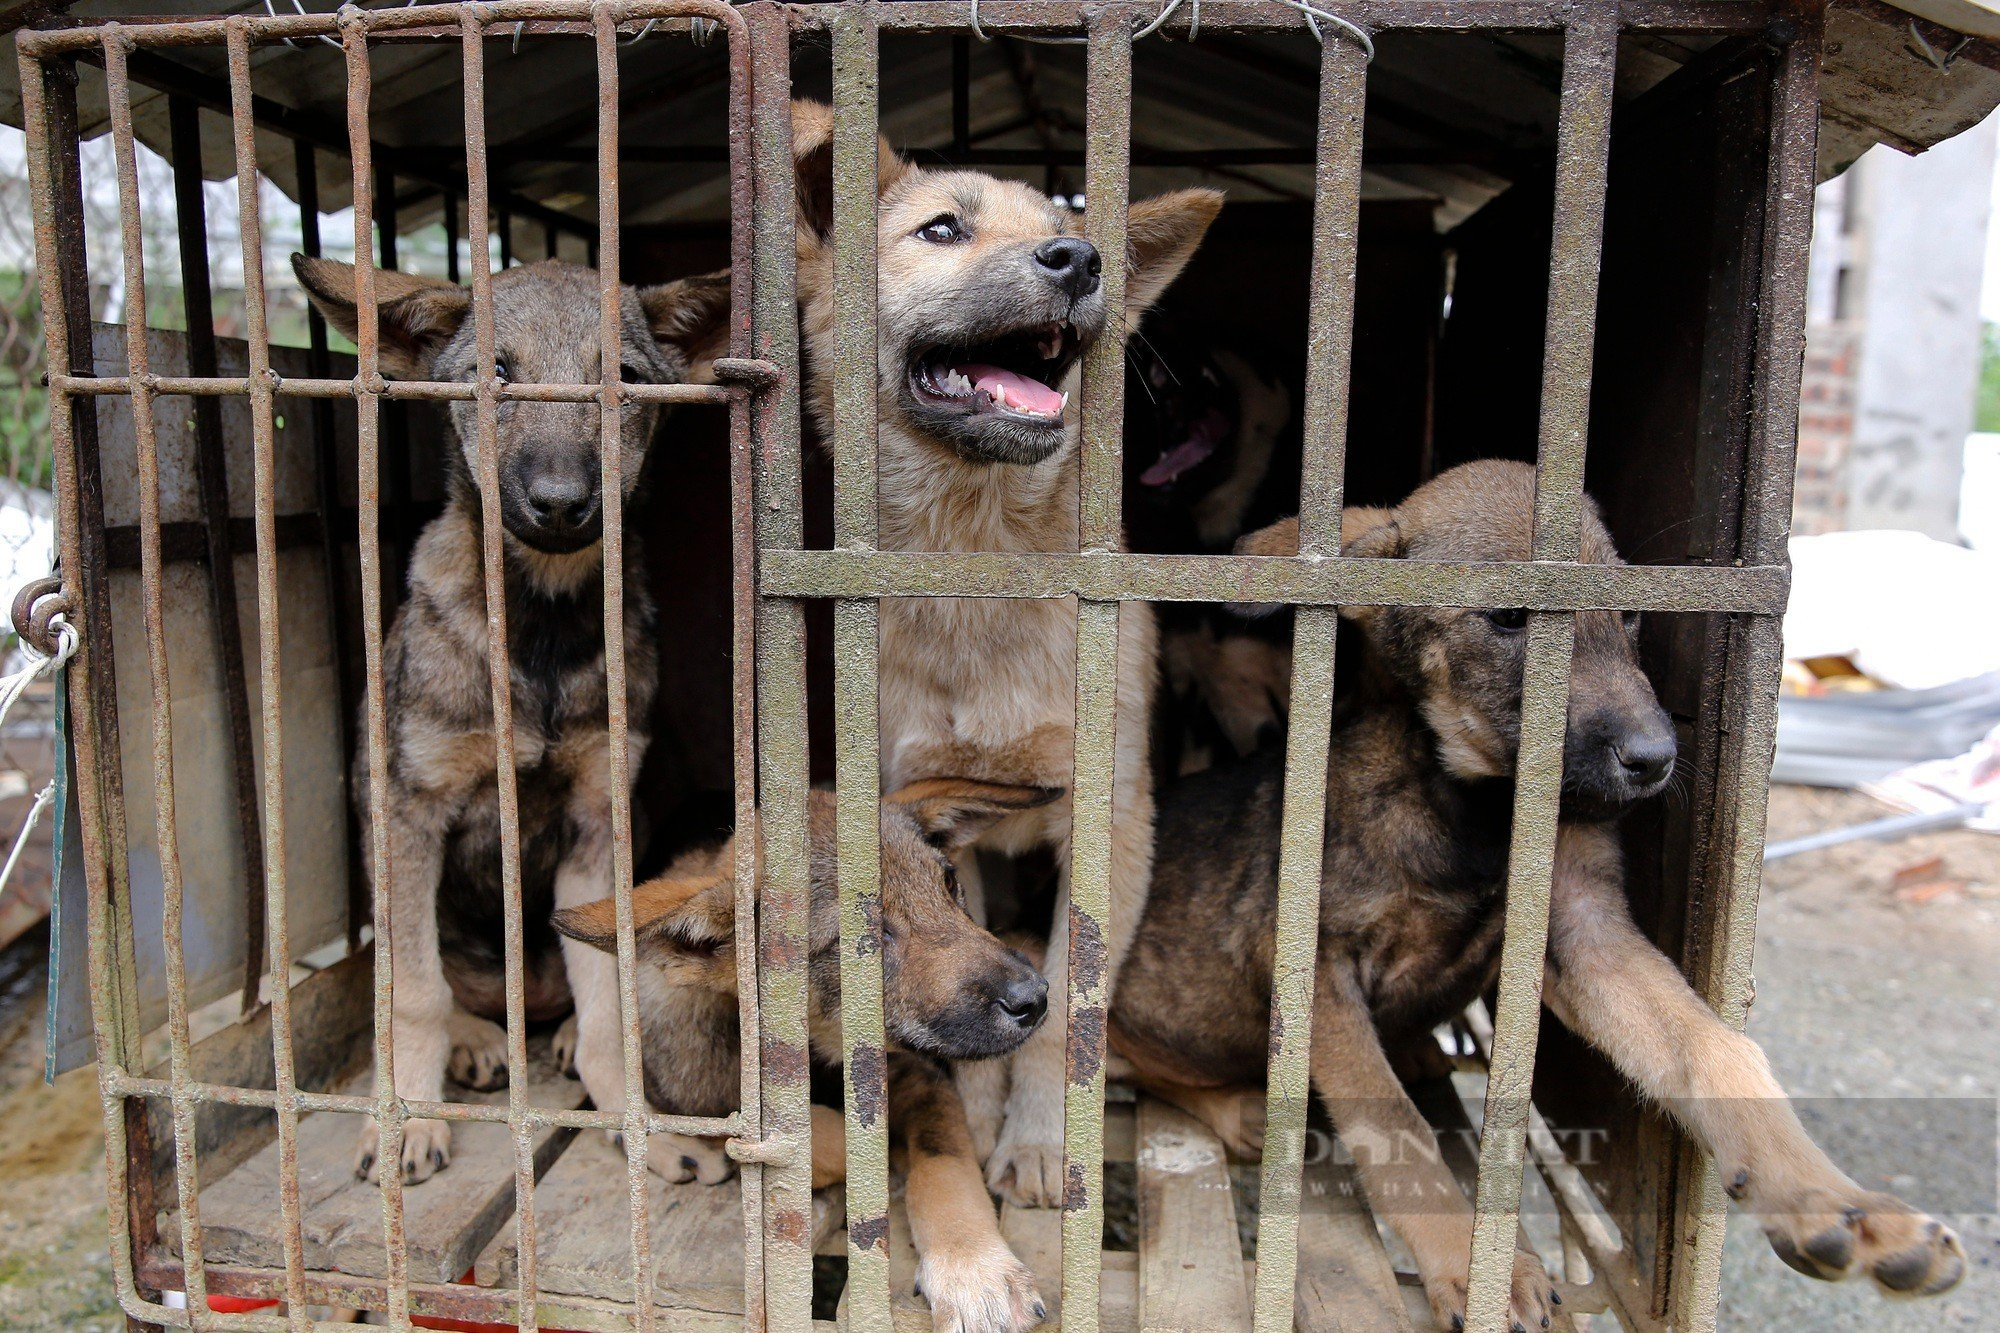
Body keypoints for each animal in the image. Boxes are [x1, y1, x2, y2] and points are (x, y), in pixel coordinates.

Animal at [292, 254, 732, 1176]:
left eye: (622, 380)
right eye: (493, 372)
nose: (560, 503)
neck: (545, 628)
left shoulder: (597, 825)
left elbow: (608, 1002)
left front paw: (635, 1115)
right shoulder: (410, 815)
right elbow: (414, 993)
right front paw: (406, 1116)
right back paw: (474, 1040)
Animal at [556, 780, 1056, 1328]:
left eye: (949, 884)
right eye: (860, 940)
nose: (1036, 998)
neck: (818, 1053)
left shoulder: (919, 1078)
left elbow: (946, 1167)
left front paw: (974, 1268)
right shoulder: (706, 1103)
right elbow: (811, 1137)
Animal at [788, 98, 1224, 1200]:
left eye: (1070, 228)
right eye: (942, 228)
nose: (1079, 259)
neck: (976, 559)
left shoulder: (1108, 825)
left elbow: (1064, 1014)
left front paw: (1034, 1142)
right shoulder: (952, 826)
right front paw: (979, 1115)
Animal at [1112, 454, 1968, 1320]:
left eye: (1632, 614)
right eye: (1509, 617)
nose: (1655, 759)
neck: (1477, 810)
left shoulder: (1586, 931)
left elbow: (1712, 1047)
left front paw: (1845, 1206)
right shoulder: (1315, 964)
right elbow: (1395, 1127)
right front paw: (1473, 1264)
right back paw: (1242, 1107)